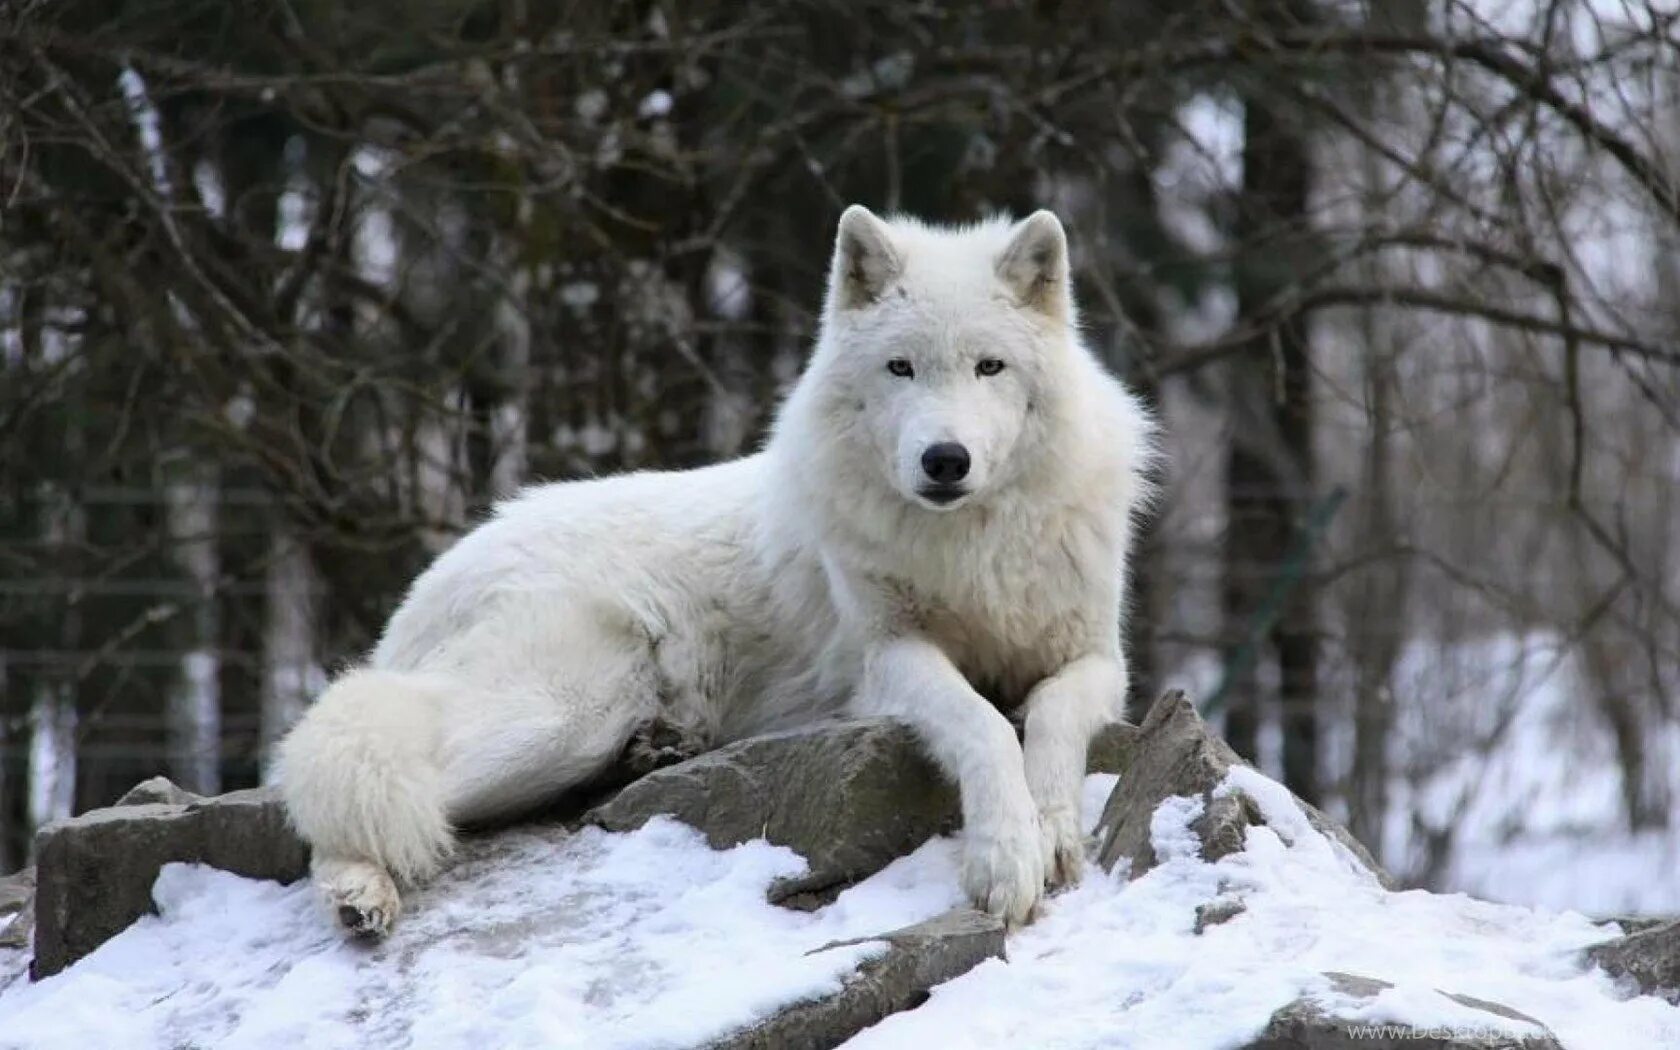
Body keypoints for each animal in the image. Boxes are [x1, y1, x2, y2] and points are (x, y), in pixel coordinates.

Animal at [282, 204, 1162, 934]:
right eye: (901, 368)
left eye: (989, 367)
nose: (944, 461)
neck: (971, 547)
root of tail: (431, 582)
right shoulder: (887, 658)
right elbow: (982, 724)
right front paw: (1006, 857)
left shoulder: (1097, 658)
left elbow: (1051, 716)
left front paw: (1052, 832)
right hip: (564, 711)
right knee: (345, 777)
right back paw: (359, 892)